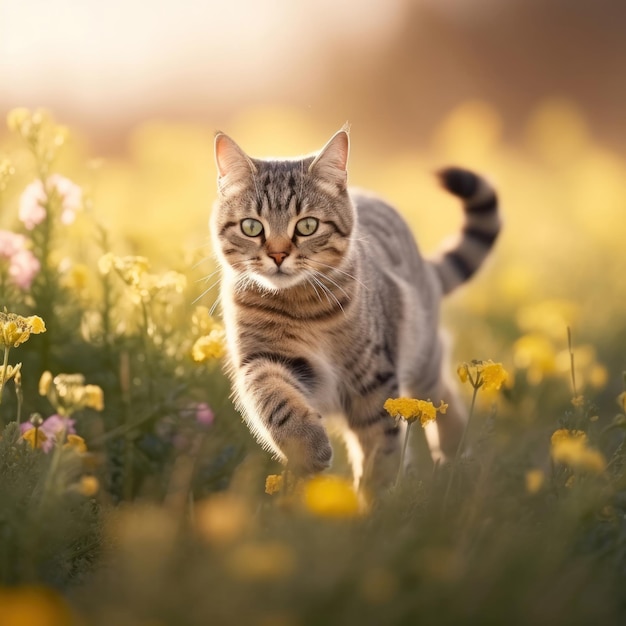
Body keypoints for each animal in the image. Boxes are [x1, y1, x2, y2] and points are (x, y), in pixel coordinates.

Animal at [210, 127, 498, 486]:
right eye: (251, 227)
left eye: (307, 225)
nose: (277, 255)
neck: (299, 305)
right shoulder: (263, 358)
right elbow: (275, 400)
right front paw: (308, 449)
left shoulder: (373, 376)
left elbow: (381, 444)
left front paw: (377, 493)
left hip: (422, 354)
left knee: (441, 396)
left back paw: (454, 457)